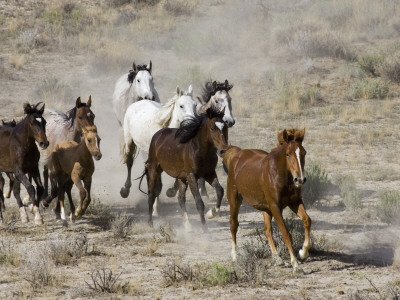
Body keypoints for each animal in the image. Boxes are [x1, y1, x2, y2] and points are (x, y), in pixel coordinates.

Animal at [223, 127, 310, 274]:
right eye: (288, 154)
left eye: (304, 153)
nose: (300, 179)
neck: (280, 176)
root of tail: (238, 153)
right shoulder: (275, 207)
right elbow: (286, 234)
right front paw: (296, 265)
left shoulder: (294, 202)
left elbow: (307, 220)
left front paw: (303, 252)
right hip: (235, 200)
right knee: (233, 224)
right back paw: (235, 256)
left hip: (266, 209)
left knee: (267, 230)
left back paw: (277, 258)